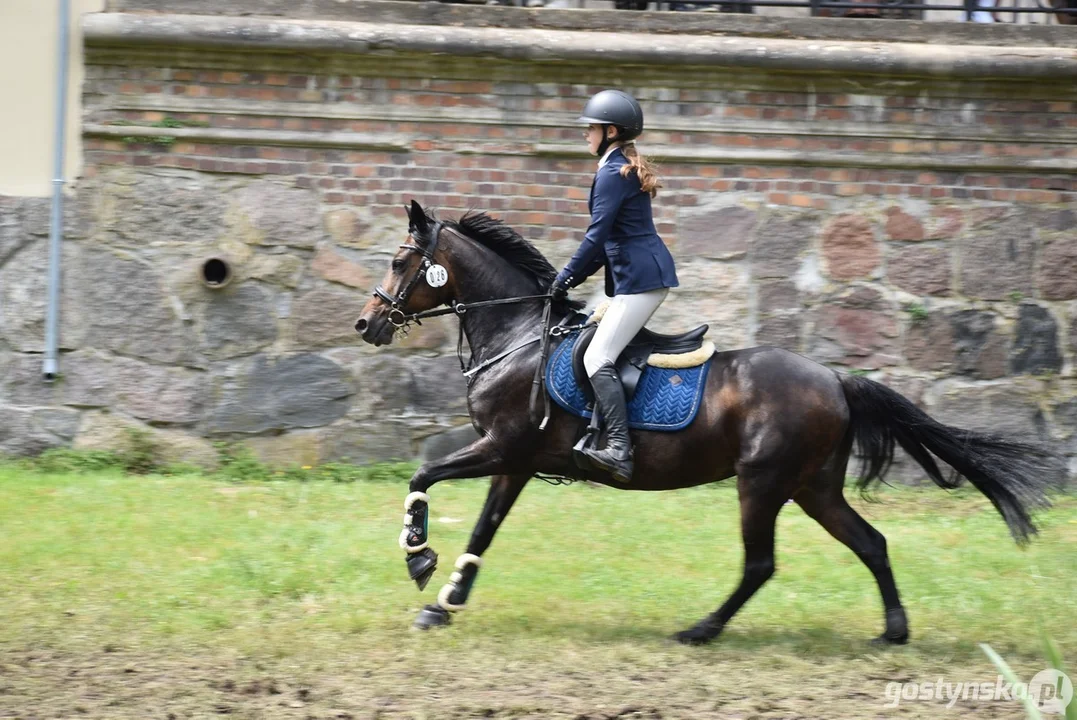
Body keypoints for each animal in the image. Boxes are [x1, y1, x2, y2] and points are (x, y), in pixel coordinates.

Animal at [353, 199, 1051, 641]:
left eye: (399, 260)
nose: (366, 324)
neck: (519, 335)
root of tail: (834, 379)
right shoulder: (516, 461)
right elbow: (480, 525)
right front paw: (445, 601)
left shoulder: (505, 449)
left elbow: (427, 480)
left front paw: (419, 561)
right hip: (812, 486)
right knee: (870, 542)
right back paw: (894, 630)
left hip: (763, 483)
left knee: (761, 564)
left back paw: (702, 629)